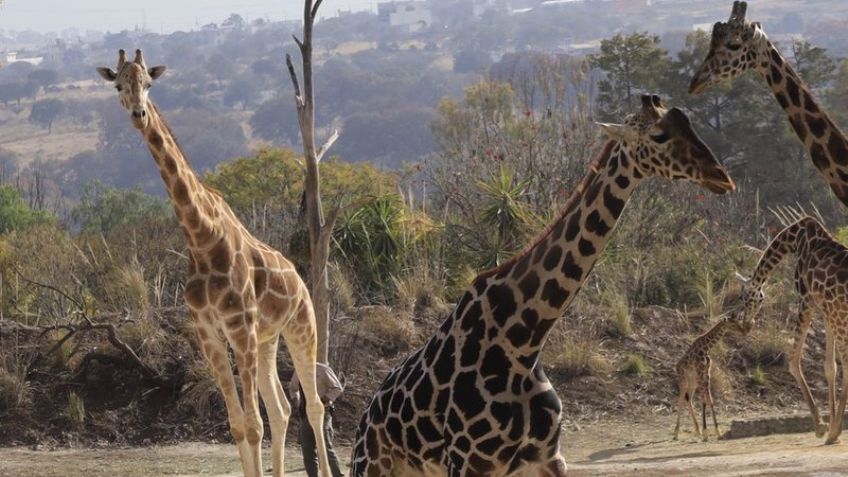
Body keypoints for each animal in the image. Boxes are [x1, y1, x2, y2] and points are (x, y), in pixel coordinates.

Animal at [96, 49, 331, 477]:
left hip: (302, 327)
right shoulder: (208, 333)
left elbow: (253, 425)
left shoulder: (239, 328)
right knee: (282, 410)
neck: (202, 239)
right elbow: (238, 425)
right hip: (268, 339)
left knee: (315, 406)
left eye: (148, 84)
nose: (139, 113)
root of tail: (300, 279)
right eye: (119, 85)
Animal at [350, 95, 736, 477]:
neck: (523, 343)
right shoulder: (468, 461)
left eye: (689, 125)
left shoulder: (547, 458)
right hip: (372, 466)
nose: (722, 177)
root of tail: (366, 416)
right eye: (658, 135)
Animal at [737, 216, 848, 444]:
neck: (795, 238)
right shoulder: (825, 309)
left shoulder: (806, 300)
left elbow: (794, 361)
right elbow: (830, 367)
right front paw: (833, 430)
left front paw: (823, 428)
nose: (745, 325)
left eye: (743, 298)